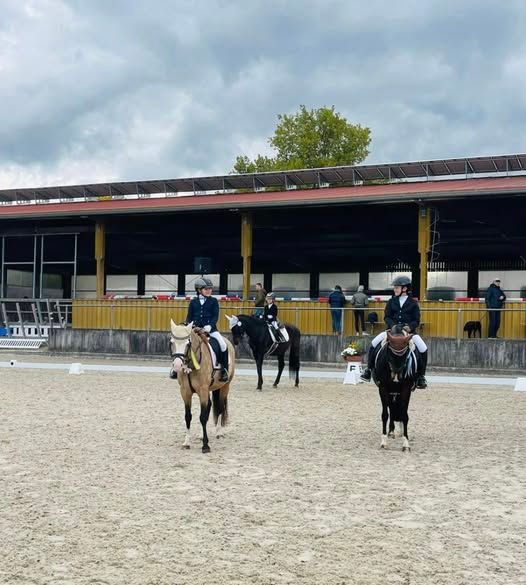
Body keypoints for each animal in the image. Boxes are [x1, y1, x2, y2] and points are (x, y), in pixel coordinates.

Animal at [169, 320, 235, 453]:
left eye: (187, 343)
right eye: (172, 342)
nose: (177, 366)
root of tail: (228, 342)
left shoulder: (203, 390)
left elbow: (203, 417)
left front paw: (206, 446)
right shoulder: (185, 392)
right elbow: (188, 417)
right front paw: (186, 443)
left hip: (225, 387)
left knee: (220, 408)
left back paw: (219, 433)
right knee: (209, 406)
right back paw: (201, 435)